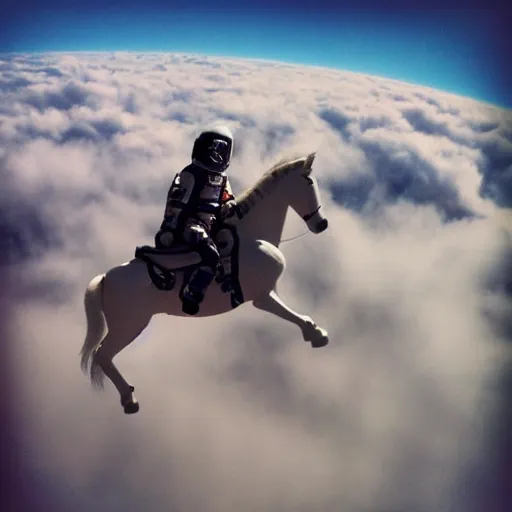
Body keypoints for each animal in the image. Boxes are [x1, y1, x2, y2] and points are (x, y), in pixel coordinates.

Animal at [80, 151, 328, 412]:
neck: (252, 237)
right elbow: (292, 315)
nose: (322, 224)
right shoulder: (262, 296)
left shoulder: (267, 292)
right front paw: (317, 334)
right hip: (129, 326)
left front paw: (315, 333)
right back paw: (129, 399)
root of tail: (105, 279)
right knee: (102, 355)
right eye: (309, 182)